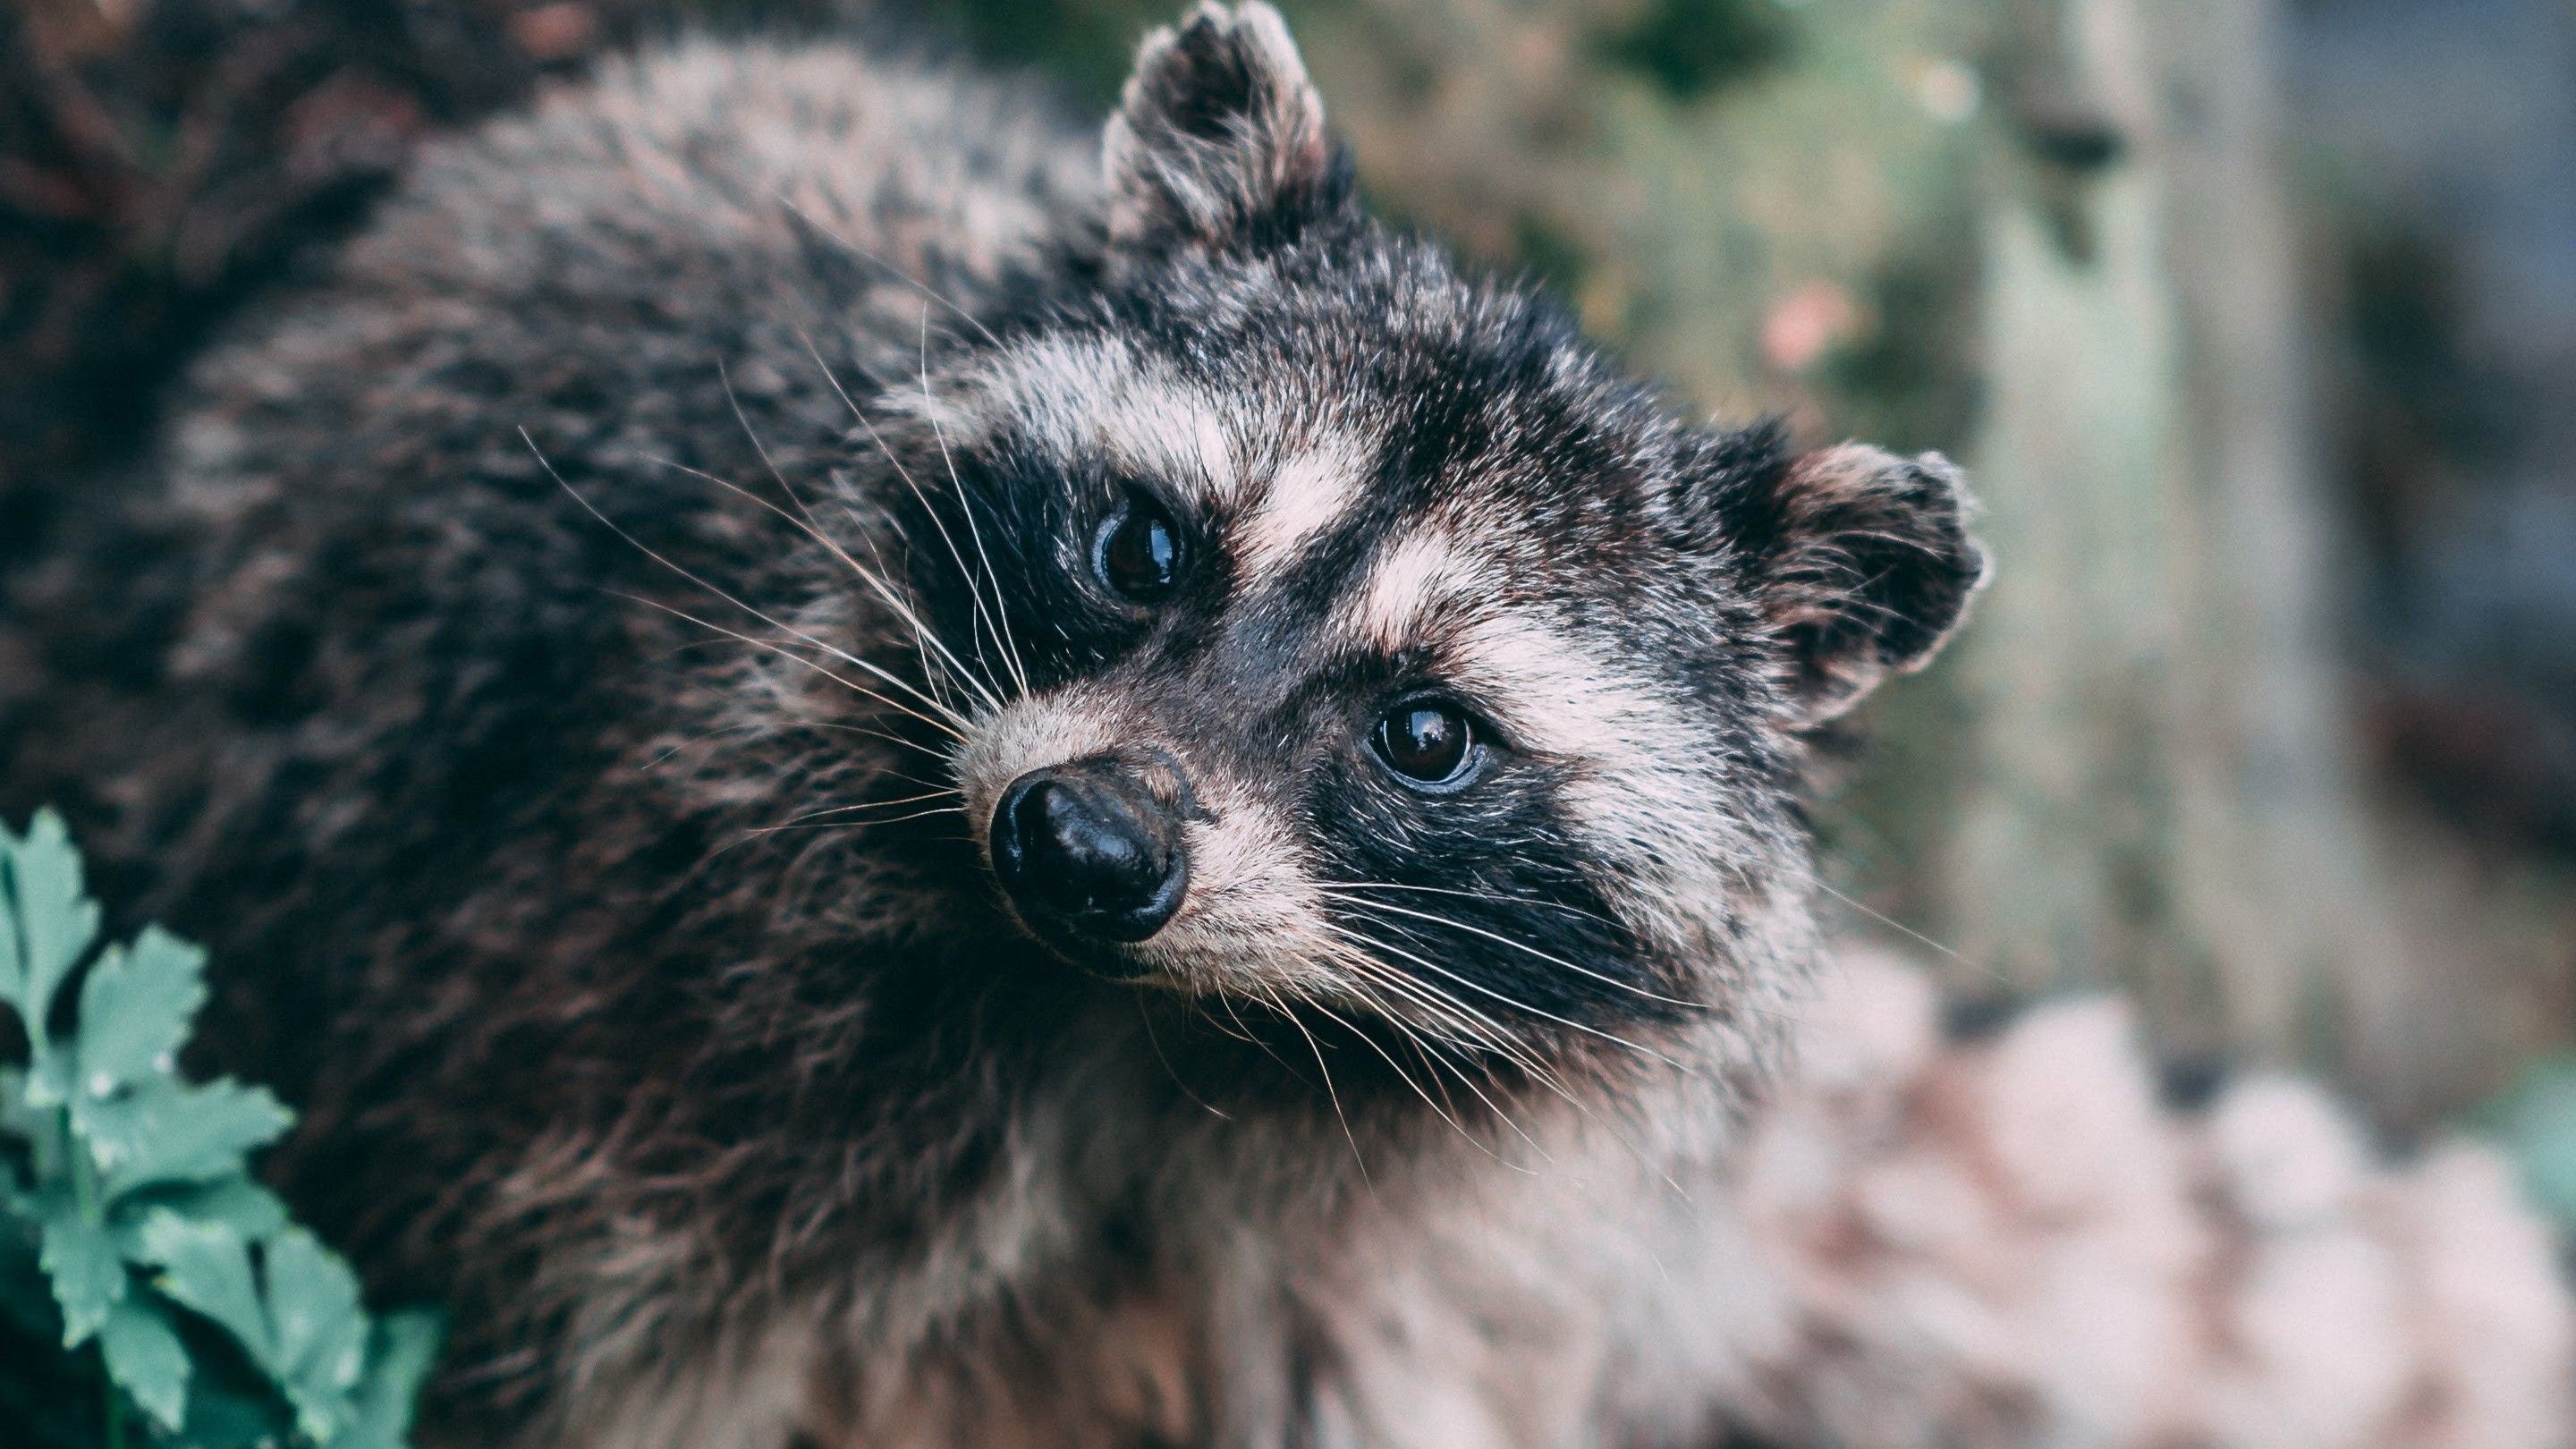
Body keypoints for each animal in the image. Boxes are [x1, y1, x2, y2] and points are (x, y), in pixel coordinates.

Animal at [0, 5, 1988, 1433]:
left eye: (1429, 736)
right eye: (1143, 547)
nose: (1089, 845)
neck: (1155, 1028)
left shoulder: (1425, 1275)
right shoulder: (594, 1043)